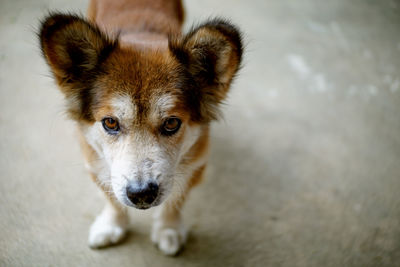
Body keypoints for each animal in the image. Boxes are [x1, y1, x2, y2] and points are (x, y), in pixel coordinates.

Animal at [39, 0, 242, 255]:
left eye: (172, 123)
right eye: (110, 122)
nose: (142, 194)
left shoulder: (197, 163)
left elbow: (175, 200)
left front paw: (168, 228)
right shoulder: (94, 162)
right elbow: (112, 198)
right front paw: (112, 225)